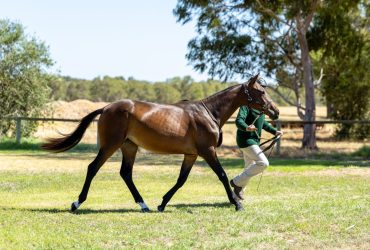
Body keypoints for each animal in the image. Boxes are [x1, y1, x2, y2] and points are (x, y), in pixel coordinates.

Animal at [42, 74, 278, 213]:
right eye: (261, 91)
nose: (274, 110)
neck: (208, 112)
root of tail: (107, 107)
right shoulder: (207, 151)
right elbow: (221, 175)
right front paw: (236, 203)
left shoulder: (191, 155)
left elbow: (181, 180)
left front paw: (162, 203)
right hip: (110, 146)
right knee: (93, 168)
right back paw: (76, 203)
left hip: (129, 147)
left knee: (126, 174)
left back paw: (144, 205)